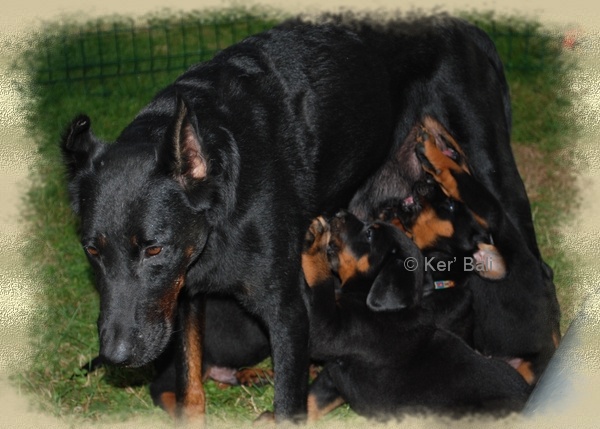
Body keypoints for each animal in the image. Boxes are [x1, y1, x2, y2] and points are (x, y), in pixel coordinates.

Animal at [302, 214, 530, 421]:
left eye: (369, 234)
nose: (340, 214)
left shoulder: (329, 332)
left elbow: (320, 284)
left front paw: (315, 243)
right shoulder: (332, 376)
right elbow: (311, 401)